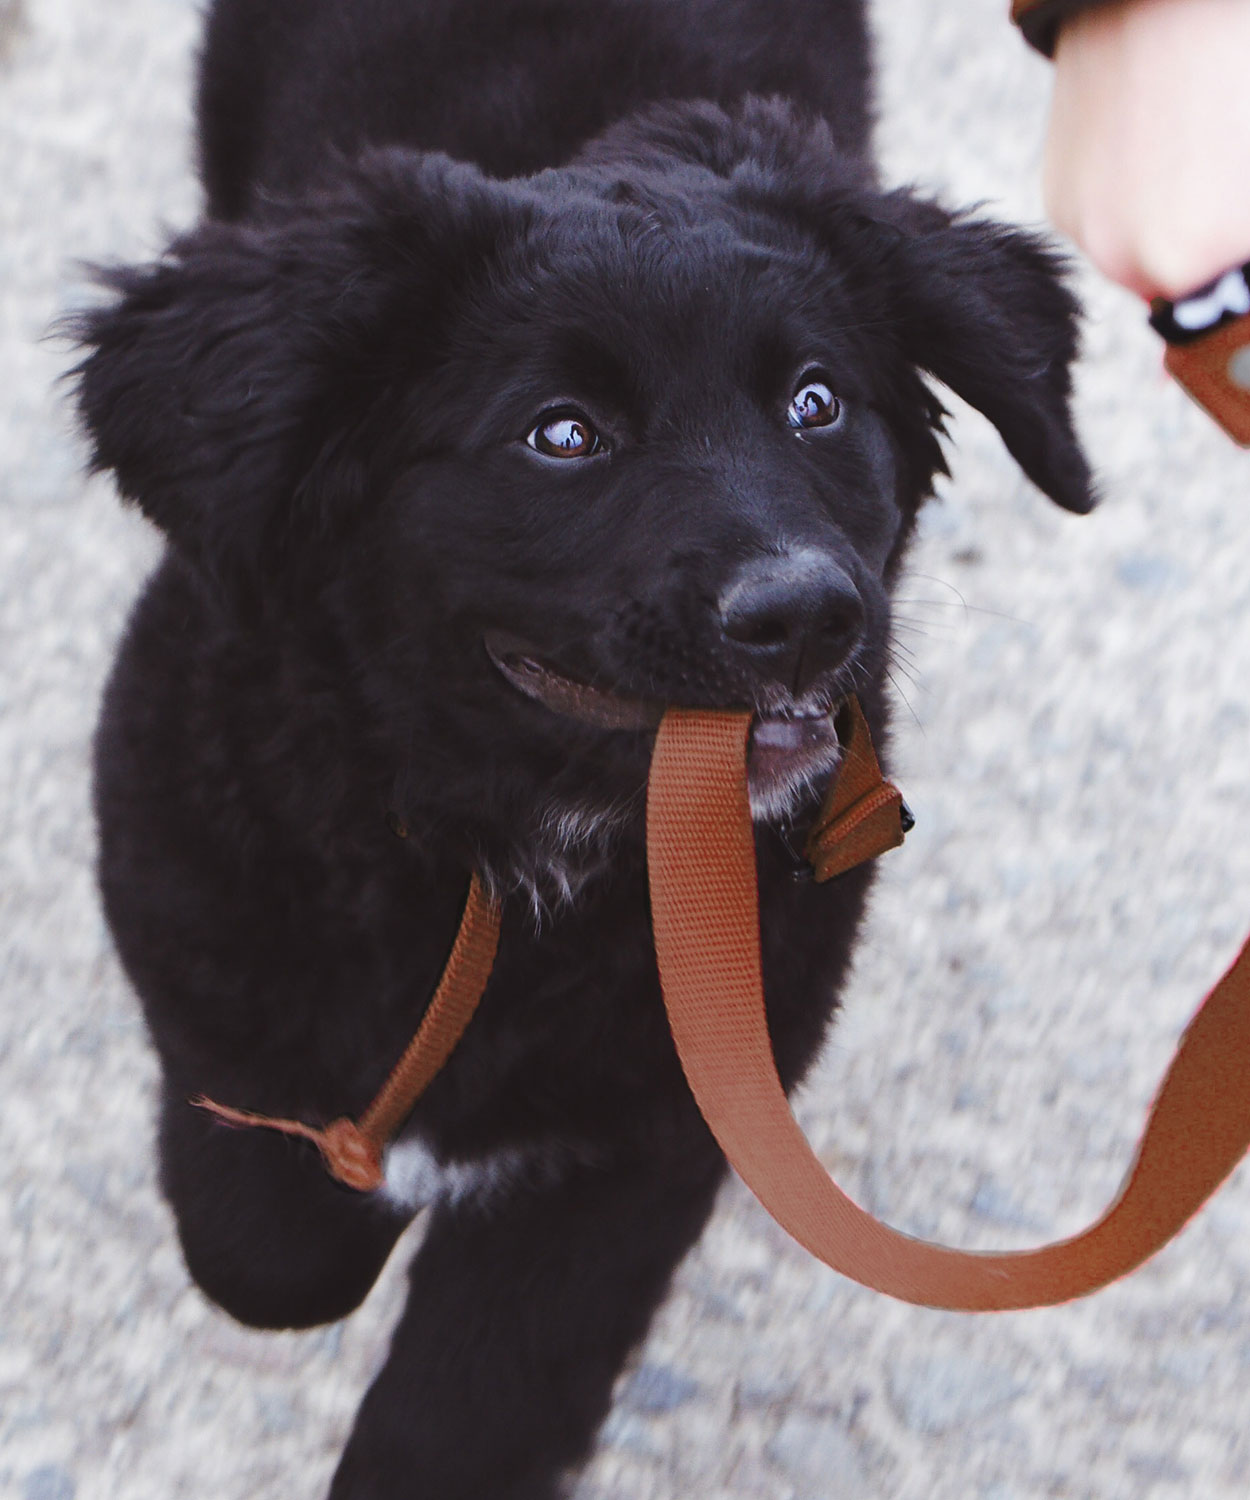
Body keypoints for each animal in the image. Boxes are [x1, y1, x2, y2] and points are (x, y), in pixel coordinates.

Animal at [73, 2, 1086, 1500]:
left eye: (816, 402)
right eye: (562, 435)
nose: (806, 615)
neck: (515, 848)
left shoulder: (656, 1127)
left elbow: (475, 1411)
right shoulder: (201, 935)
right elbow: (266, 1248)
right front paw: (344, 1210)